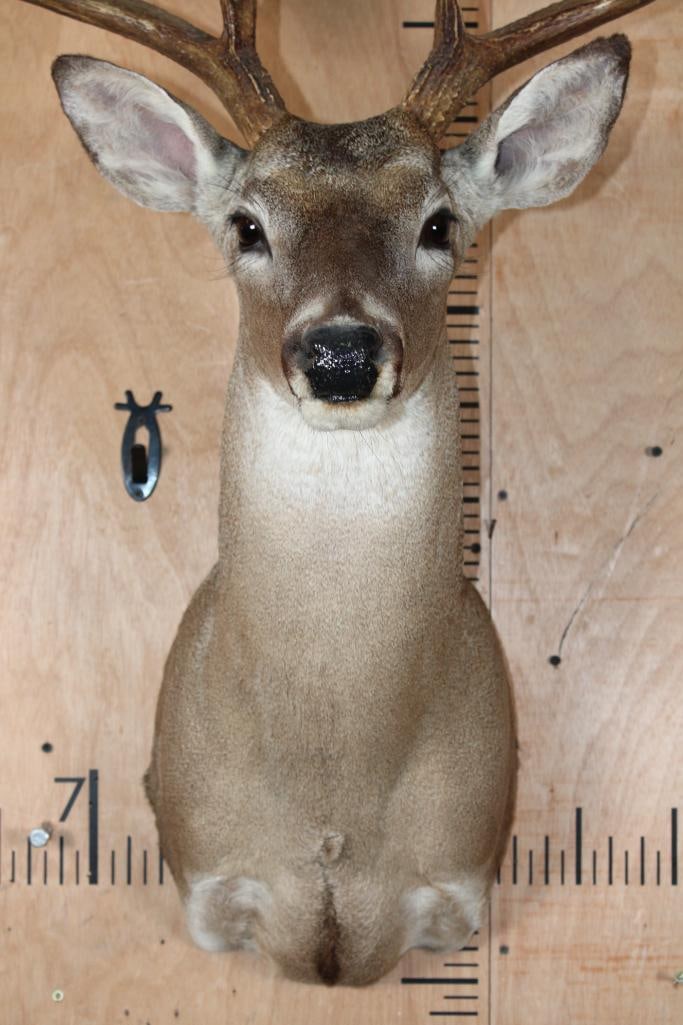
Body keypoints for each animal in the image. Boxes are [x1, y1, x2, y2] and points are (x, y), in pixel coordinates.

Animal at [22, 0, 656, 989]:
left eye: (439, 225)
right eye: (246, 225)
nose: (341, 353)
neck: (332, 791)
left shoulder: (458, 876)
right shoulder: (207, 872)